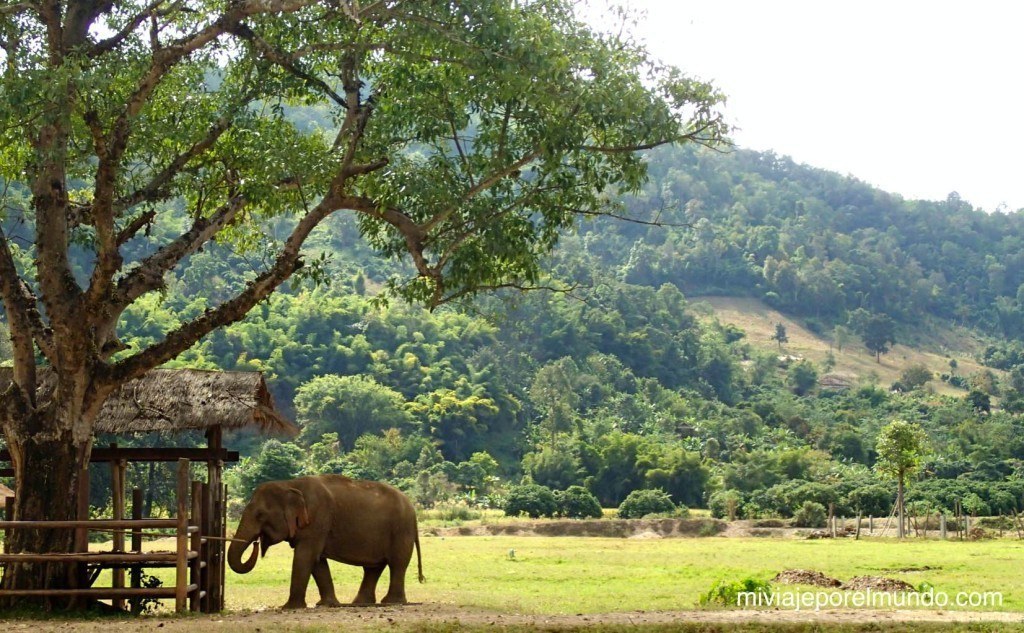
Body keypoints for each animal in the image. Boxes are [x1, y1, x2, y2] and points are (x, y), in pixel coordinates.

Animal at [228, 473, 423, 606]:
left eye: (260, 515)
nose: (256, 542)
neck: (290, 483)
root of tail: (412, 509)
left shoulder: (318, 519)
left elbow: (305, 556)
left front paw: (289, 607)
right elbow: (317, 562)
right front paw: (327, 604)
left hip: (401, 530)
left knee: (397, 564)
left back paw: (391, 602)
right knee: (374, 567)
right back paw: (360, 603)